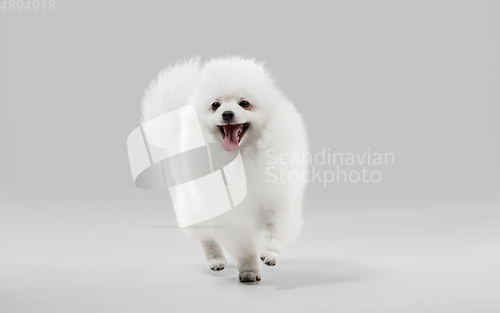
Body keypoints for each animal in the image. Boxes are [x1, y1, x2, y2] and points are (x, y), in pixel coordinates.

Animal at [139, 56, 306, 282]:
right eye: (215, 105)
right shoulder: (229, 216)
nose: (227, 113)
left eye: (244, 103)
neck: (239, 159)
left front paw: (270, 253)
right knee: (206, 237)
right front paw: (249, 269)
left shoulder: (275, 201)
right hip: (194, 205)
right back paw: (215, 260)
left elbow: (273, 229)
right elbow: (243, 246)